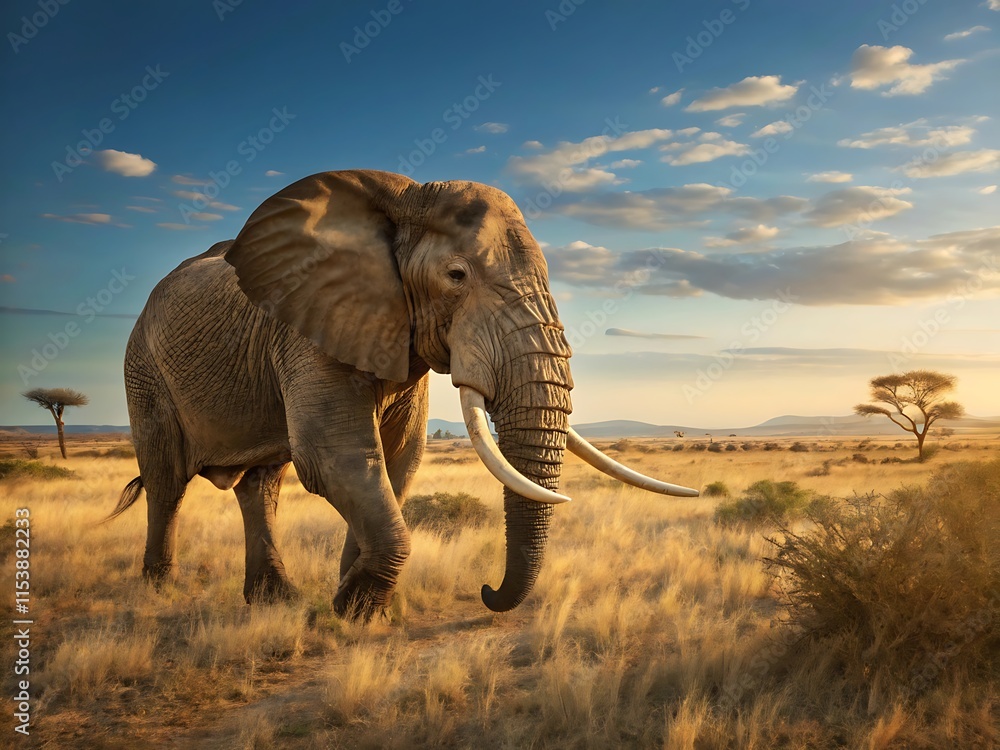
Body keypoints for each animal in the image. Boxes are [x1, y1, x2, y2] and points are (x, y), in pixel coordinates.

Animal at [109, 169, 697, 620]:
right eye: (456, 276)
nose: (486, 591)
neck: (404, 198)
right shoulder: (307, 322)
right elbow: (335, 457)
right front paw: (349, 609)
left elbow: (397, 461)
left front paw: (358, 608)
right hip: (144, 368)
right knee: (167, 480)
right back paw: (159, 594)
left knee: (261, 485)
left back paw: (274, 601)